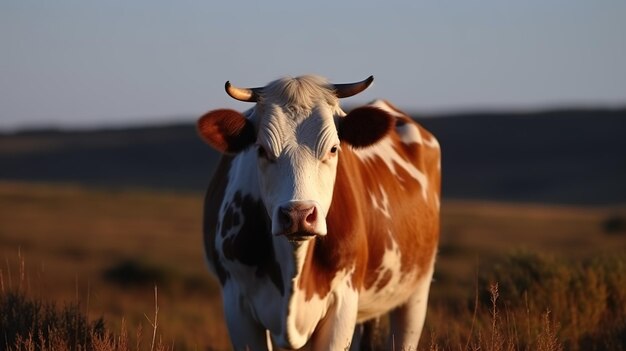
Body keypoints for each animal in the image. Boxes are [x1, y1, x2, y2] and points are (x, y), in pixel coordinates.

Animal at [197, 75, 436, 350]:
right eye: (261, 150)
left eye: (333, 149)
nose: (298, 215)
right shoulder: (236, 303)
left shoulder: (343, 302)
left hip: (416, 292)